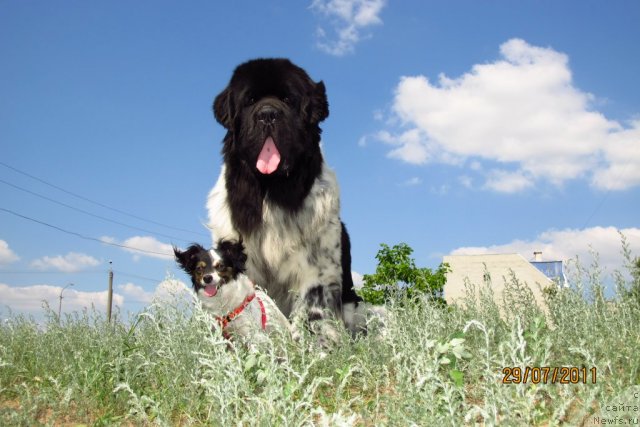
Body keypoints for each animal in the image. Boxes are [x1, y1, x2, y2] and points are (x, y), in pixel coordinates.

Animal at [206, 57, 364, 344]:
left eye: (288, 99)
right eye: (250, 100)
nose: (268, 114)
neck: (272, 191)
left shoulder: (316, 268)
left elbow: (314, 309)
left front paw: (316, 345)